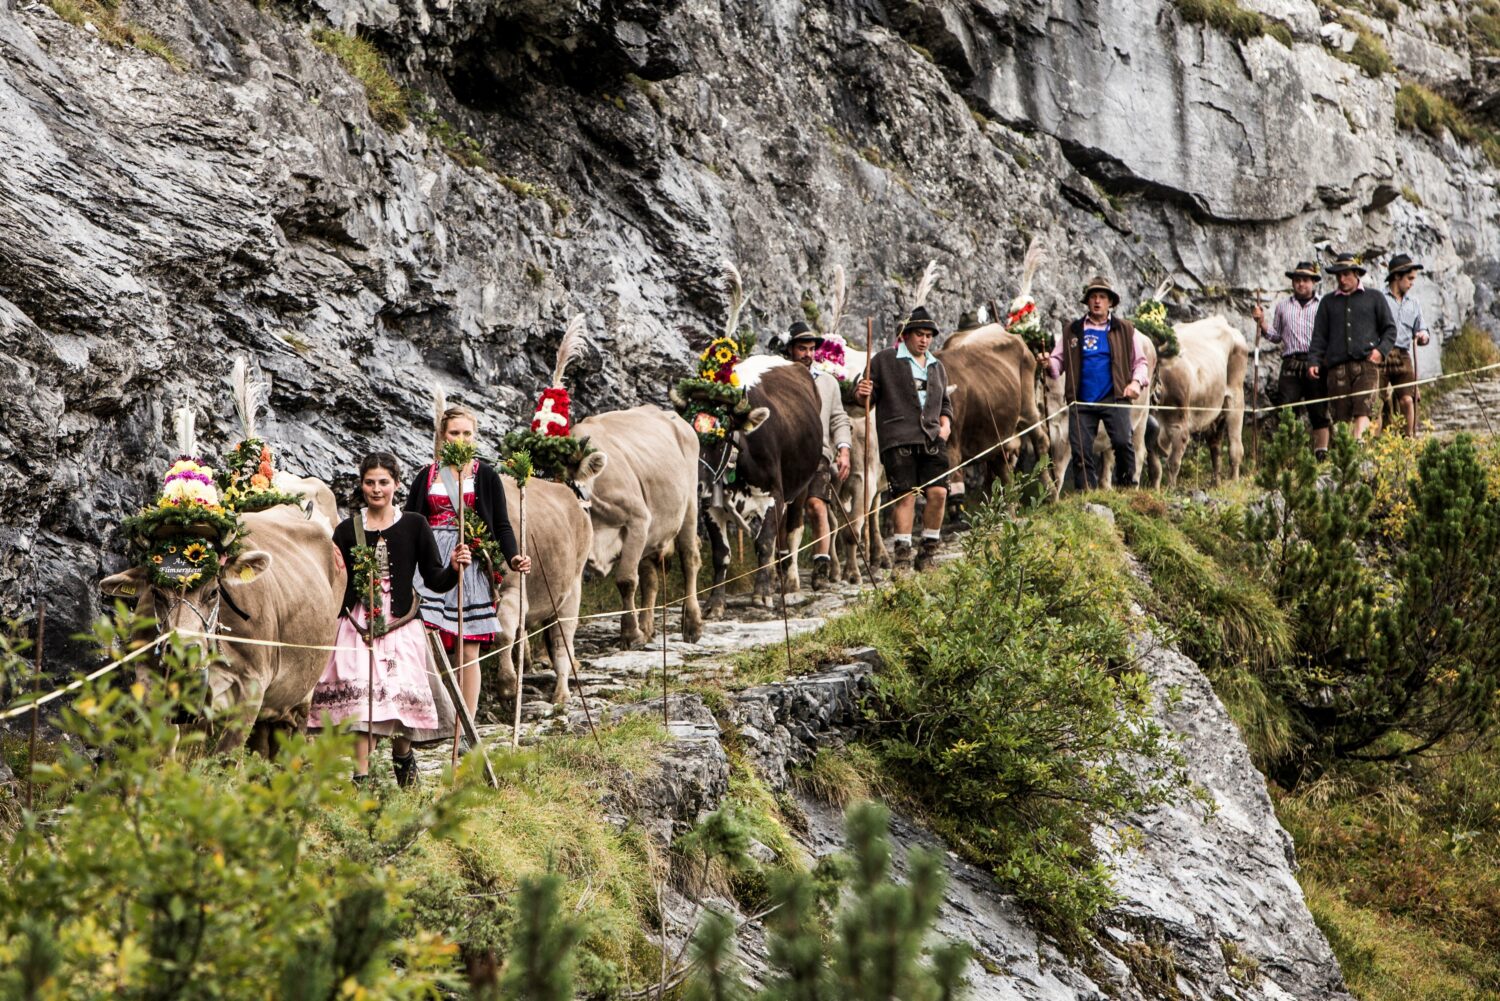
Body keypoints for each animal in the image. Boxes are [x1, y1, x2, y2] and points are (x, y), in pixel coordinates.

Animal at [99, 501, 343, 750]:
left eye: (213, 592)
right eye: (157, 593)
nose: (184, 651)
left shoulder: (252, 685)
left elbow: (226, 752)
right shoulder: (149, 678)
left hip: (306, 690)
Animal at [570, 408, 705, 651]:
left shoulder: (638, 520)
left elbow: (626, 580)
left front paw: (630, 635)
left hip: (689, 507)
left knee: (690, 560)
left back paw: (691, 624)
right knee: (650, 578)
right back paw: (647, 626)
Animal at [1146, 313, 1254, 486]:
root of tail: (1221, 320)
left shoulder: (1179, 426)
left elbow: (1173, 463)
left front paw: (1170, 488)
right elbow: (1154, 467)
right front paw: (1155, 489)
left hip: (1235, 396)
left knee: (1235, 445)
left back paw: (1234, 480)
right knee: (1215, 445)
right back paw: (1216, 482)